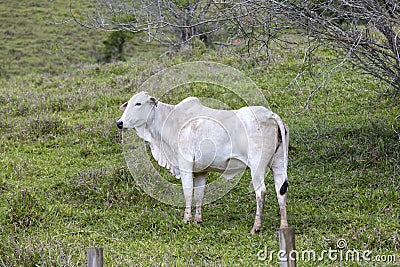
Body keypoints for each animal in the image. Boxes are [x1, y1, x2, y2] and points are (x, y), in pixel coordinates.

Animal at [117, 92, 290, 234]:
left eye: (138, 103)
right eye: (128, 104)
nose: (120, 123)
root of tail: (271, 115)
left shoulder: (185, 164)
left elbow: (188, 192)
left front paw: (186, 219)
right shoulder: (201, 170)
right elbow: (199, 194)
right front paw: (197, 220)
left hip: (257, 166)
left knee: (261, 192)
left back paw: (256, 227)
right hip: (278, 163)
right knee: (281, 191)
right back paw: (283, 226)